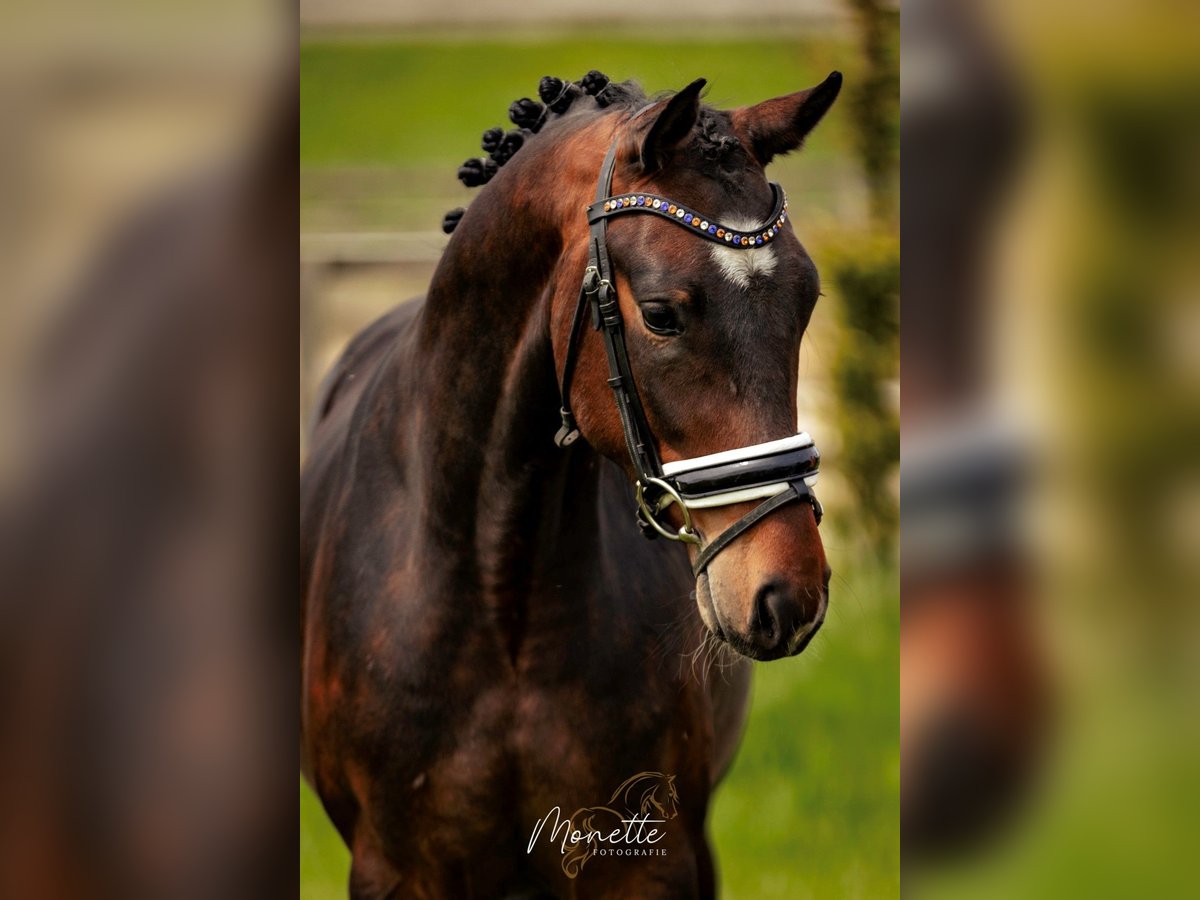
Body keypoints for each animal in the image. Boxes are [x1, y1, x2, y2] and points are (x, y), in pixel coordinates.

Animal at [300, 66, 844, 897]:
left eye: (807, 300)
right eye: (660, 315)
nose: (787, 594)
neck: (501, 603)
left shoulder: (653, 863)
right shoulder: (397, 869)